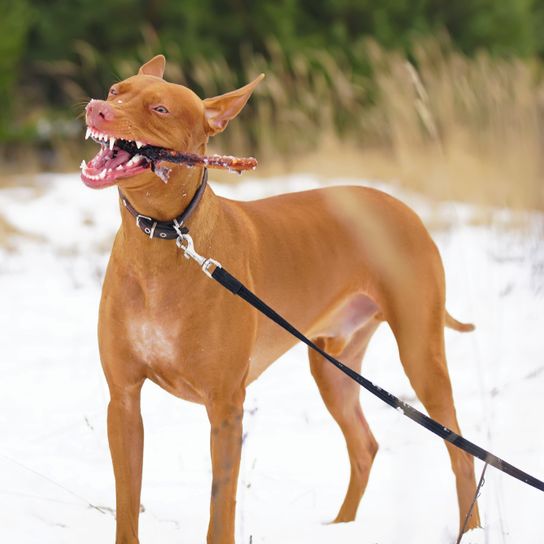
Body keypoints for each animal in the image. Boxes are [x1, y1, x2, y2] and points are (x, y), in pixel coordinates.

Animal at [82, 54, 480, 540]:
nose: (97, 108)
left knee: (461, 453)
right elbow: (126, 507)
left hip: (421, 356)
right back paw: (341, 527)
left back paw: (471, 531)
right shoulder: (123, 401)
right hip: (333, 366)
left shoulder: (225, 408)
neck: (165, 238)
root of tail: (405, 208)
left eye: (159, 109)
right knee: (364, 446)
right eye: (116, 90)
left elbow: (221, 509)